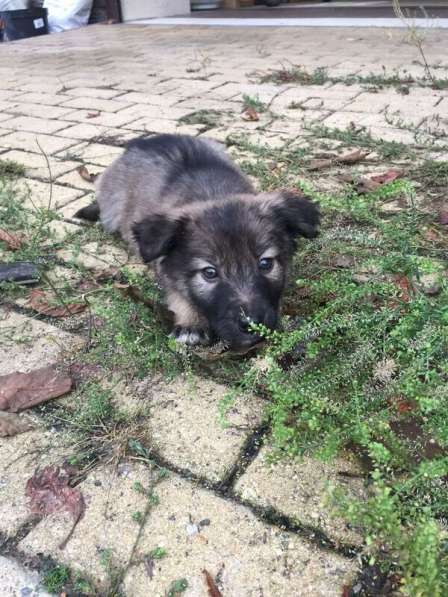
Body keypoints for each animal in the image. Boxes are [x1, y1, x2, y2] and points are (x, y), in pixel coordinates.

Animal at [74, 134, 318, 350]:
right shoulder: (163, 268)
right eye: (209, 273)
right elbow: (178, 293)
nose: (252, 325)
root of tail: (140, 142)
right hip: (112, 210)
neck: (214, 194)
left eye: (266, 264)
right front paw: (191, 323)